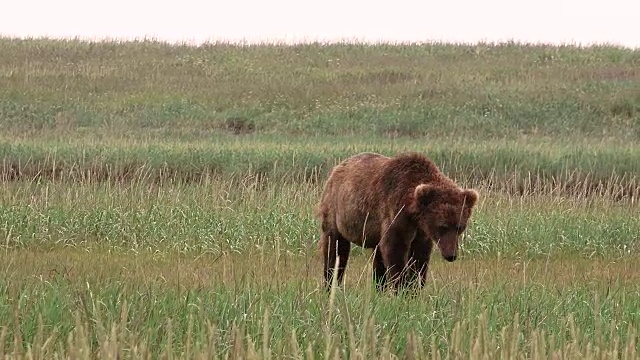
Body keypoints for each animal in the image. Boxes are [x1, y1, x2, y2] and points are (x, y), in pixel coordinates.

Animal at [318, 152, 478, 292]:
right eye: (442, 226)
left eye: (459, 227)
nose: (451, 255)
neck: (413, 212)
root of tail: (337, 168)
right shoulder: (395, 213)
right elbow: (395, 250)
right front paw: (401, 288)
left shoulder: (421, 231)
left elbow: (419, 258)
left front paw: (414, 288)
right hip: (336, 210)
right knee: (336, 249)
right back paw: (331, 285)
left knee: (378, 258)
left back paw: (378, 289)